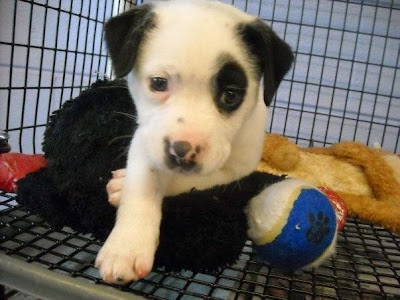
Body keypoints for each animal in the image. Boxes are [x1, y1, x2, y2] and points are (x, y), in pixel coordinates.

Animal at [95, 0, 292, 284]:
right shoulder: (146, 138)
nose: (182, 151)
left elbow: (198, 179)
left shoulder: (239, 168)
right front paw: (126, 246)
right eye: (158, 83)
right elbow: (144, 182)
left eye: (231, 95)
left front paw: (123, 188)